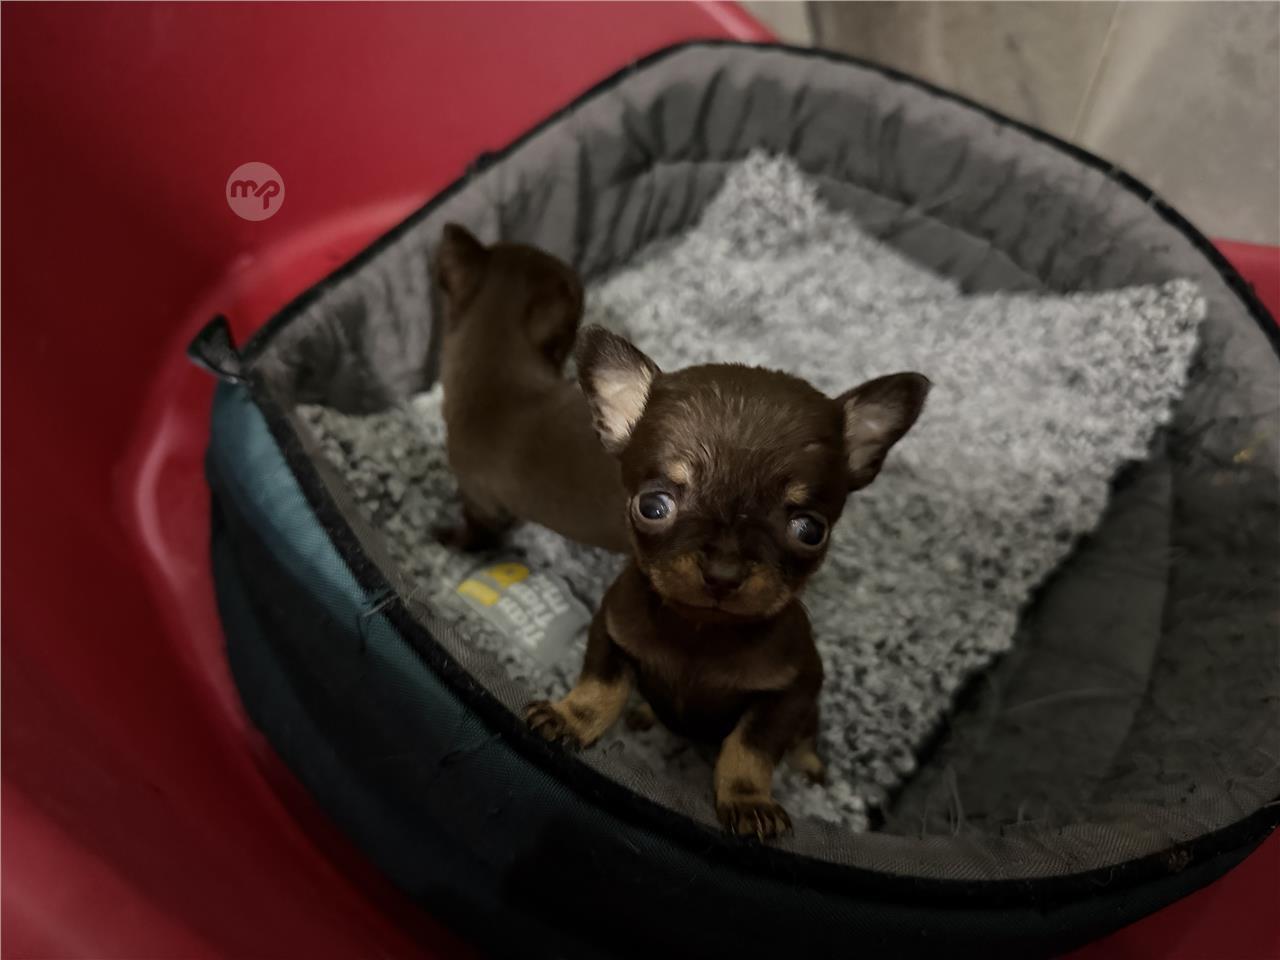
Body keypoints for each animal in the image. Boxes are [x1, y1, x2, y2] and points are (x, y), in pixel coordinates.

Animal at [526, 326, 930, 839]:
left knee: (807, 734)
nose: (723, 570)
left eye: (810, 530)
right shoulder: (610, 635)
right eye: (652, 506)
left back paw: (810, 766)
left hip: (810, 708)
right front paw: (569, 719)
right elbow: (600, 687)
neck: (701, 631)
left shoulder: (789, 694)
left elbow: (750, 747)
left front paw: (747, 800)